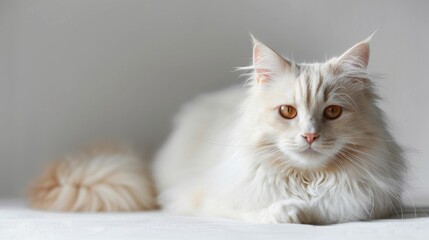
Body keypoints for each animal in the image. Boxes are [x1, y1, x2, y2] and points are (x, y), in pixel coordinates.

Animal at [28, 35, 402, 225]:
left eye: (333, 112)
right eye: (288, 112)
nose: (310, 136)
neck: (306, 181)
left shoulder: (364, 204)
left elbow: (333, 208)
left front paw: (309, 212)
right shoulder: (205, 198)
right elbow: (260, 209)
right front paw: (290, 212)